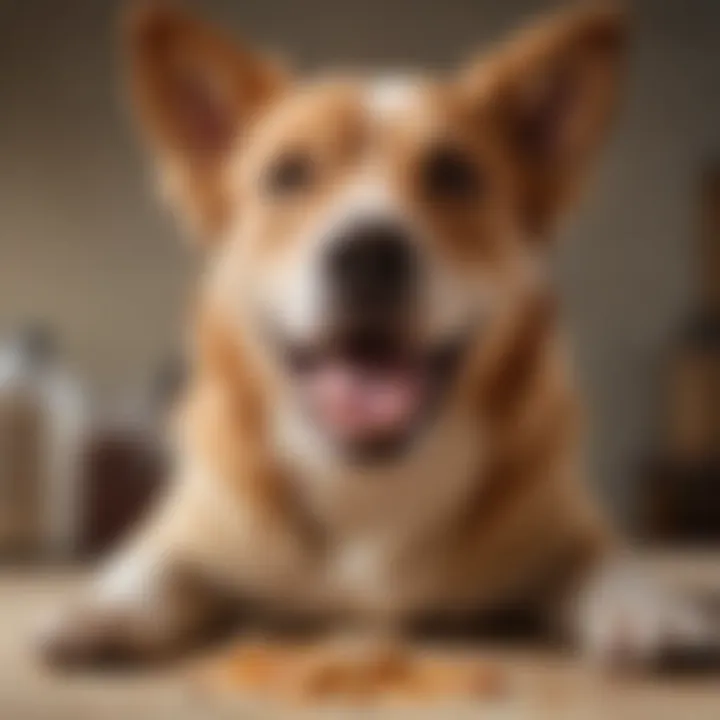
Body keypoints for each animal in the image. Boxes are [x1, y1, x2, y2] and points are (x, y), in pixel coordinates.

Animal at [40, 2, 720, 672]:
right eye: (288, 175)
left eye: (454, 174)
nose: (368, 254)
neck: (369, 480)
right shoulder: (190, 525)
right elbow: (150, 564)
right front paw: (101, 608)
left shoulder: (571, 526)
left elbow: (610, 562)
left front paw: (652, 609)